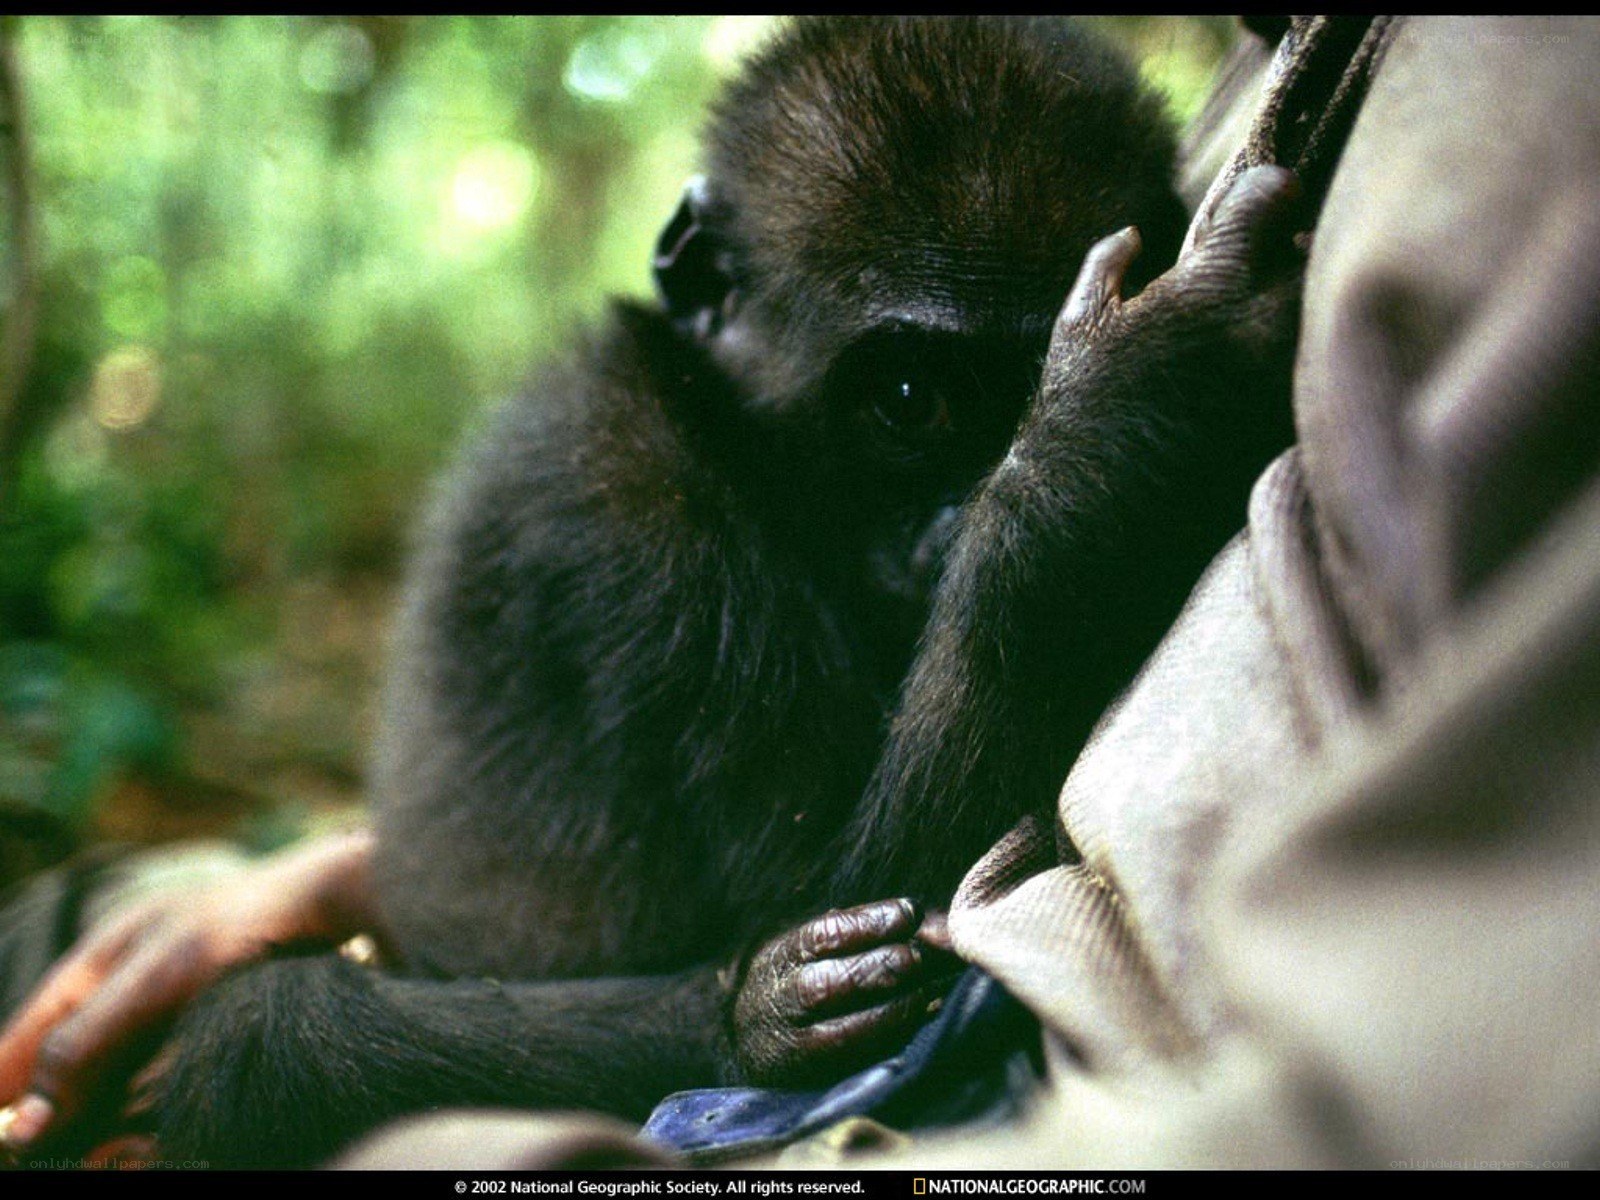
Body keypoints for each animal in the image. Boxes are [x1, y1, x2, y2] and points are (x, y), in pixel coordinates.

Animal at [2, 16, 1302, 1168]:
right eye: (907, 400)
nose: (957, 521)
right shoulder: (615, 496)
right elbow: (846, 895)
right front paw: (1115, 422)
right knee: (268, 1035)